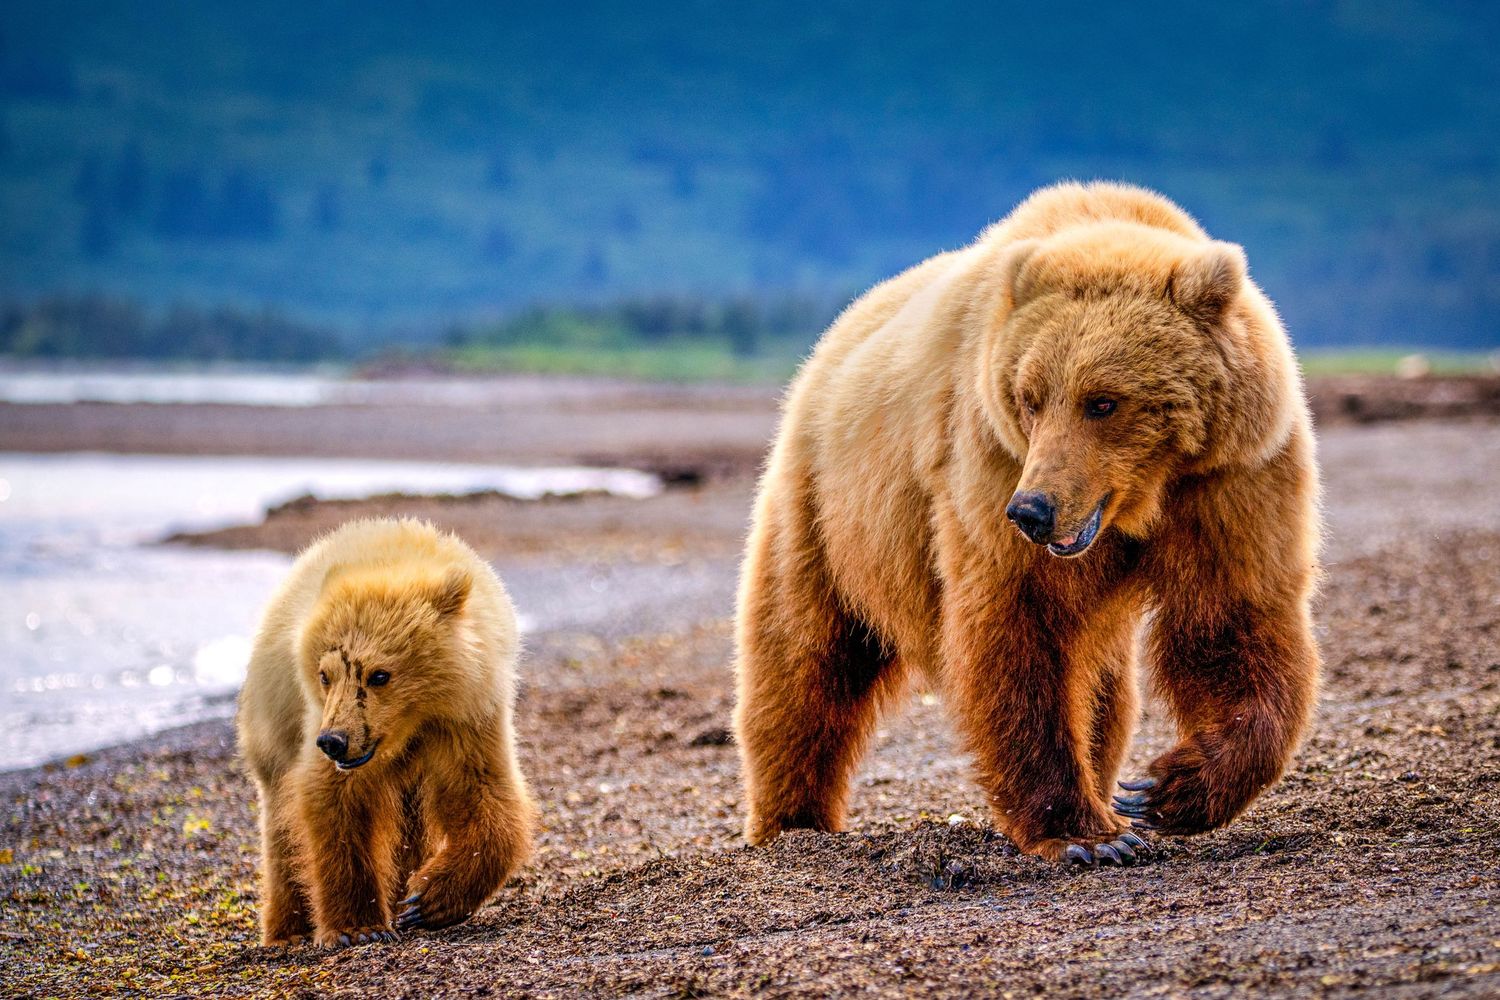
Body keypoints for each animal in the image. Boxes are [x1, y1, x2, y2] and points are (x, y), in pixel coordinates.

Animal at [237, 518, 535, 946]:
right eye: (325, 675)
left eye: (379, 675)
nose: (333, 741)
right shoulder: (324, 726)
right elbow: (335, 801)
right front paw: (358, 927)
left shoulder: (468, 718)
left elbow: (483, 793)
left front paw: (427, 900)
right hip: (273, 725)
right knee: (280, 820)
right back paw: (288, 930)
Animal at [733, 181, 1320, 865]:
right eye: (1030, 397)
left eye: (1103, 401)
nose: (1033, 511)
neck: (1143, 500)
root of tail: (829, 343)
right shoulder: (989, 461)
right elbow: (1018, 634)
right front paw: (1085, 835)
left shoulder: (1230, 481)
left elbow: (1231, 618)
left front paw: (1166, 788)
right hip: (824, 510)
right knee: (803, 660)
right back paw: (793, 822)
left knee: (1104, 689)